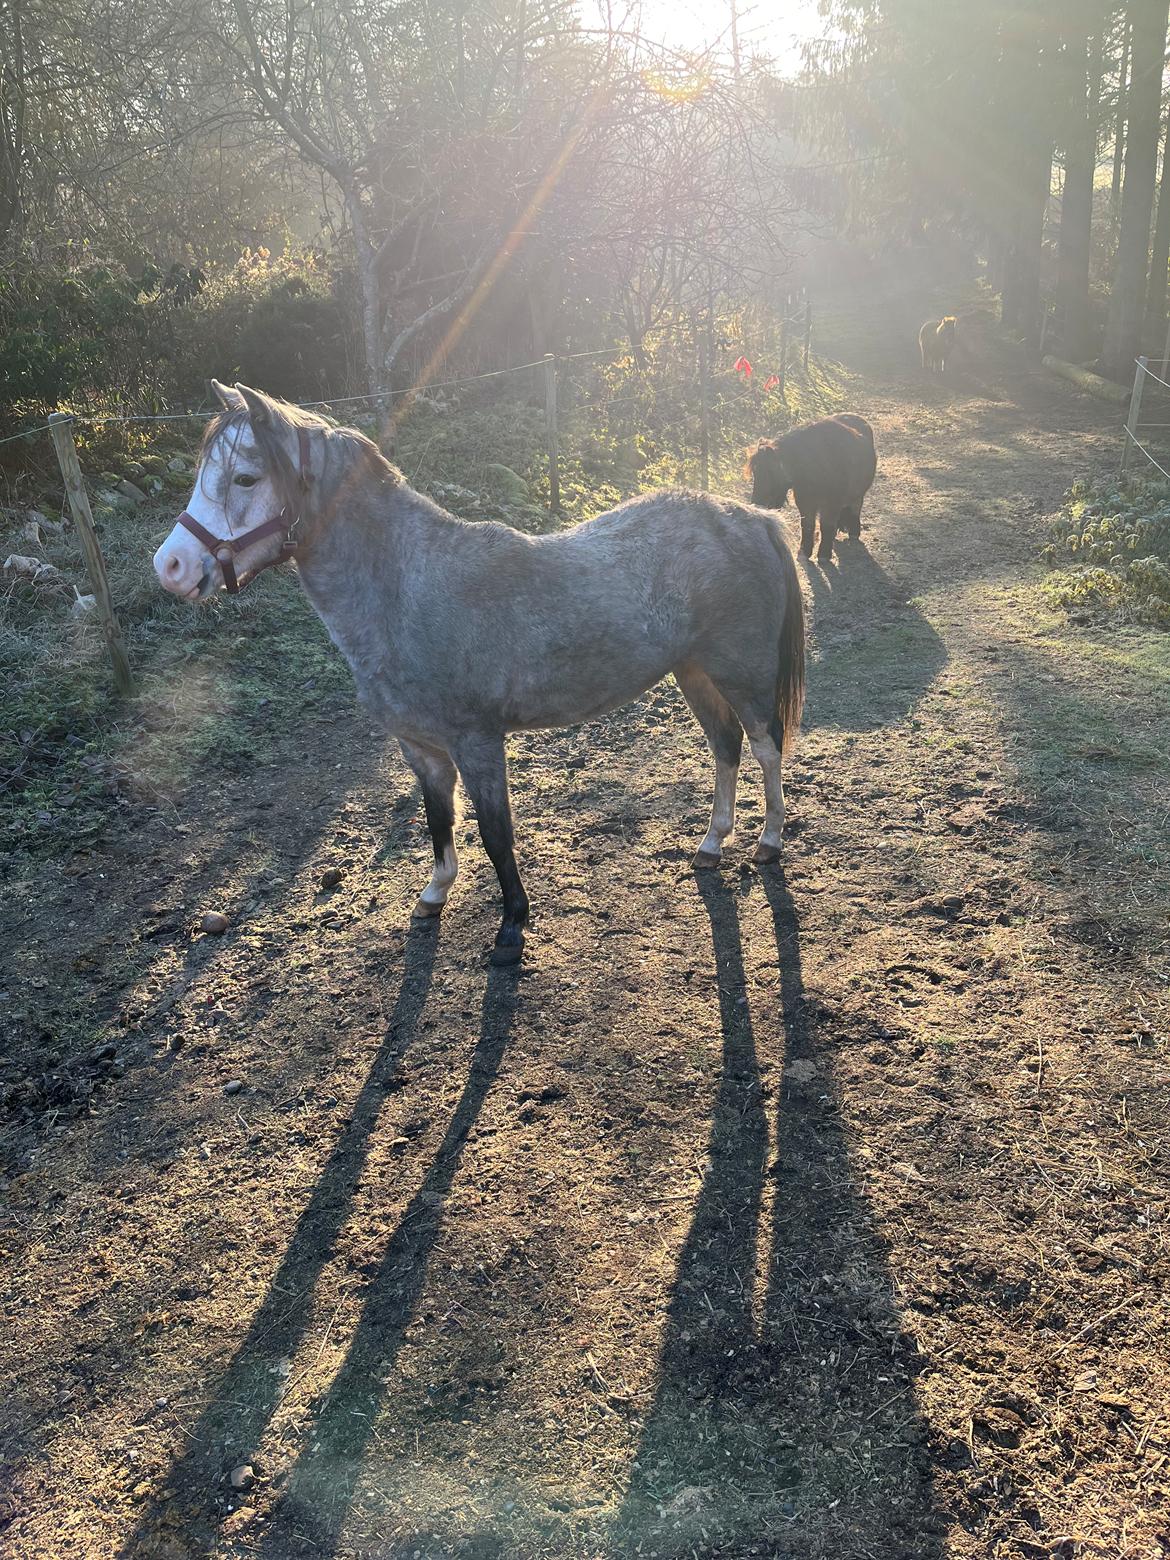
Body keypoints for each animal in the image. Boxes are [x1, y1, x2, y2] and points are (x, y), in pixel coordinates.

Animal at [153, 382, 805, 965]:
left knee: (765, 745)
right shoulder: (421, 747)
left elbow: (496, 831)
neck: (406, 590)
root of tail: (751, 518)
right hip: (693, 672)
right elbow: (438, 819)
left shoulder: (478, 741)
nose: (171, 567)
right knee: (725, 745)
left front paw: (512, 926)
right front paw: (434, 894)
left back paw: (769, 841)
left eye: (246, 478)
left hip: (741, 673)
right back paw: (712, 844)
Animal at [744, 413, 877, 562]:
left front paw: (824, 554)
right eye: (755, 473)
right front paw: (804, 551)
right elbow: (807, 525)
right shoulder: (805, 501)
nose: (757, 504)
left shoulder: (832, 502)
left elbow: (826, 525)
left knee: (855, 508)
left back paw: (854, 532)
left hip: (858, 494)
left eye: (770, 471)